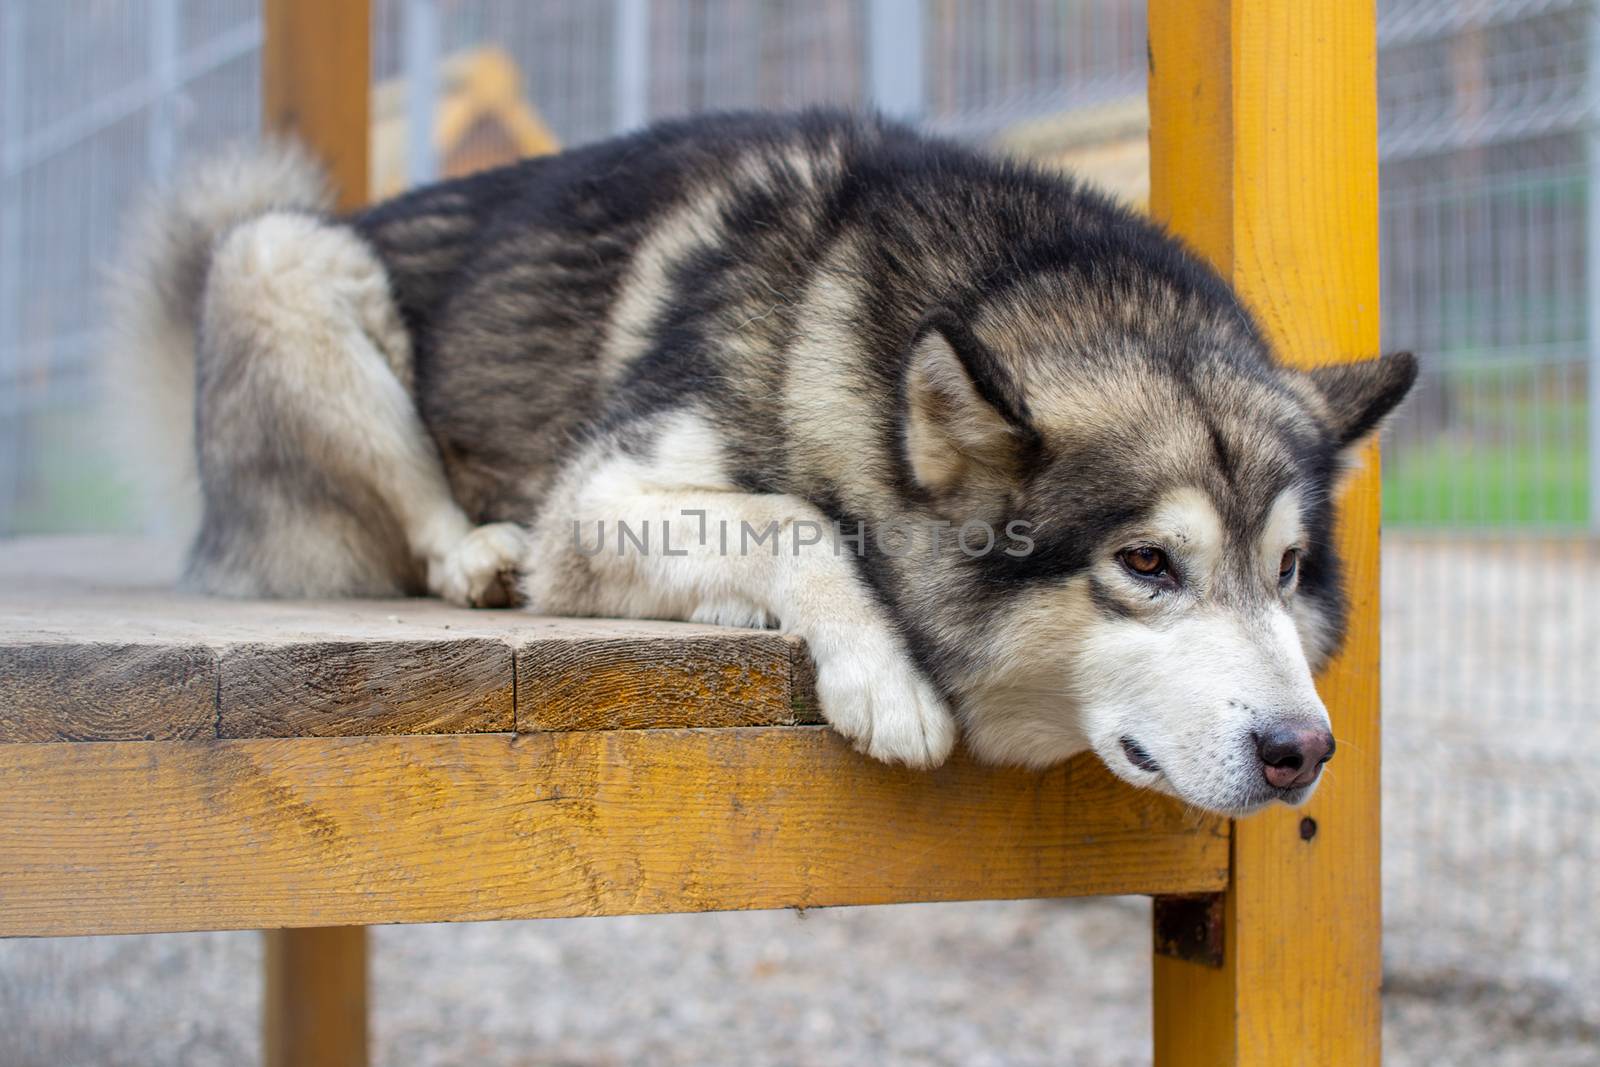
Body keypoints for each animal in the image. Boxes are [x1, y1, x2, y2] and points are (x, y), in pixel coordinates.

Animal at [109, 108, 1414, 812]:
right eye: (1146, 563)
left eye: (1287, 571)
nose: (1301, 749)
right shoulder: (599, 497)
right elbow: (793, 512)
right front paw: (886, 676)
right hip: (278, 259)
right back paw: (476, 554)